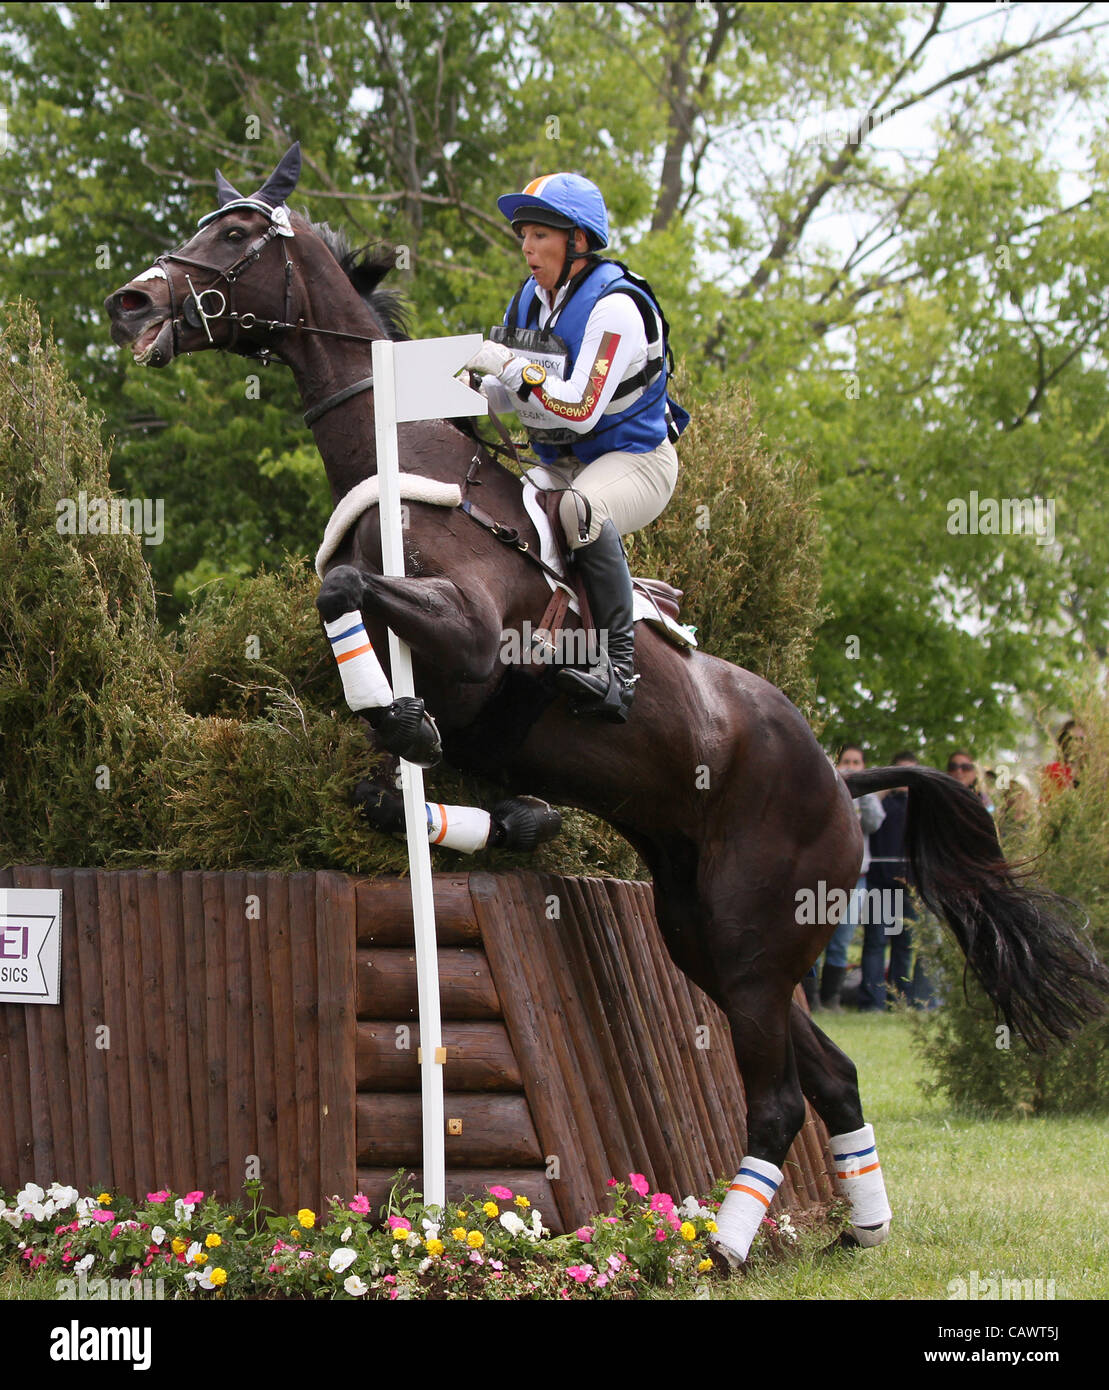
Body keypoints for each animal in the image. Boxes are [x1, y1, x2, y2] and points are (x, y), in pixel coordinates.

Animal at [106, 146, 1109, 1267]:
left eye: (237, 234)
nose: (130, 301)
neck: (412, 480)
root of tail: (844, 782)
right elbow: (378, 713)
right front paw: (461, 792)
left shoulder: (472, 636)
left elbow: (348, 599)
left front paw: (408, 724)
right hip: (704, 935)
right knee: (832, 1074)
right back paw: (860, 1228)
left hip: (752, 939)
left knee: (776, 1099)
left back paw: (719, 1246)